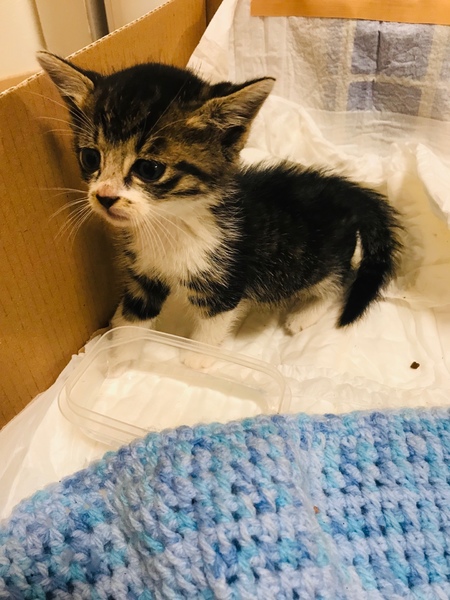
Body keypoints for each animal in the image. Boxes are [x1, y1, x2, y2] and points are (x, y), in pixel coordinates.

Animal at [37, 51, 402, 354]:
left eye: (149, 169)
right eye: (89, 158)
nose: (105, 197)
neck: (169, 221)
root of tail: (343, 188)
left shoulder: (224, 280)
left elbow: (214, 323)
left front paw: (196, 360)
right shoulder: (144, 275)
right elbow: (134, 316)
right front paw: (118, 357)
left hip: (316, 262)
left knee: (340, 279)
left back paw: (304, 315)